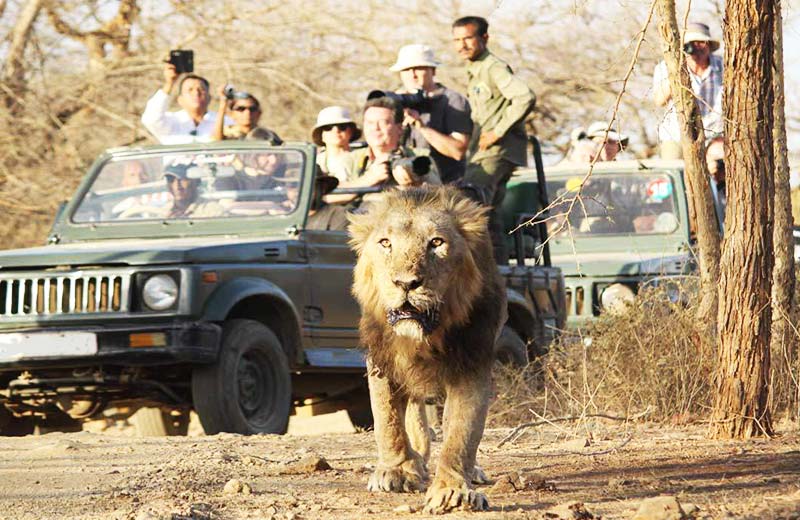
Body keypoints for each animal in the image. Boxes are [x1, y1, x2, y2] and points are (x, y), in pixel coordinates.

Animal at [346, 185, 504, 512]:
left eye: (436, 243)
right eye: (385, 243)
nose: (406, 283)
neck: (425, 337)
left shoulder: (473, 361)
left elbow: (462, 433)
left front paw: (452, 490)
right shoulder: (381, 358)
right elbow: (387, 419)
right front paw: (396, 471)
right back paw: (415, 460)